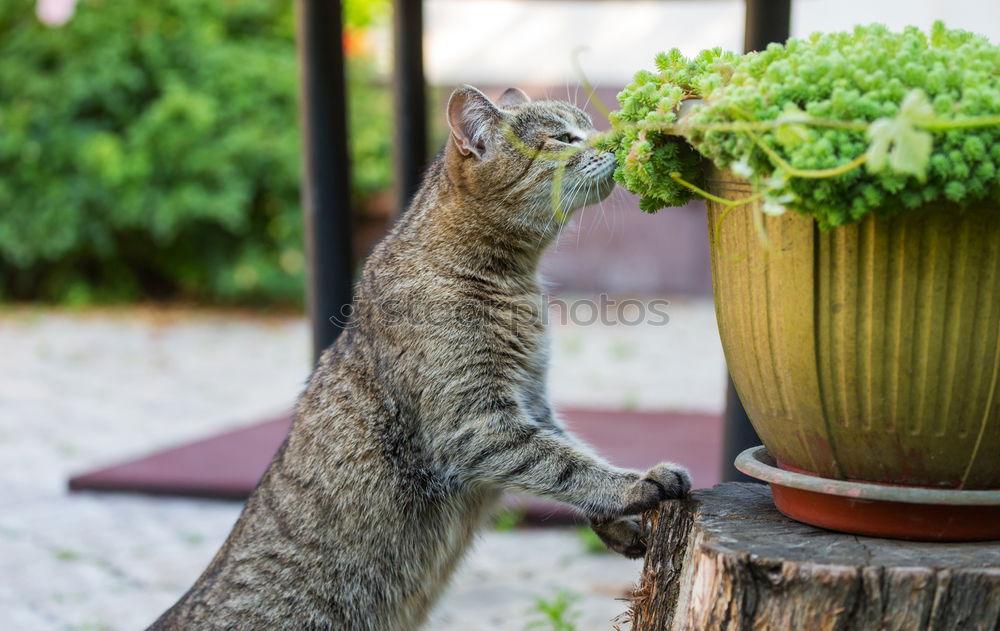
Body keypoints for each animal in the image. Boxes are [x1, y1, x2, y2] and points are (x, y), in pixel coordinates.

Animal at [148, 86, 692, 631]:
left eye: (587, 126)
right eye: (563, 137)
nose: (613, 141)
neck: (513, 278)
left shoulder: (532, 401)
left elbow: (570, 451)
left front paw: (616, 523)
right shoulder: (476, 424)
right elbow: (564, 465)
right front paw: (634, 485)